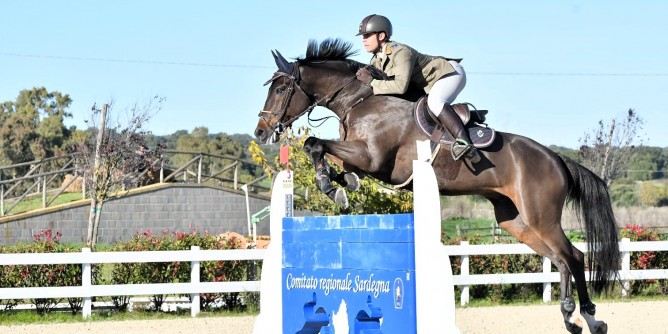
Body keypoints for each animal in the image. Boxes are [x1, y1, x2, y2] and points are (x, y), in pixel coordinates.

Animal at [253, 37, 620, 332]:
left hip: (540, 215)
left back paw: (589, 317)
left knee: (573, 255)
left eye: (281, 89)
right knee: (560, 259)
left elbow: (315, 143)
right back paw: (574, 317)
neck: (360, 102)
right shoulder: (360, 157)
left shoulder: (372, 158)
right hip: (515, 221)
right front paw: (341, 184)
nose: (260, 131)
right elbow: (328, 155)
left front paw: (331, 187)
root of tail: (557, 159)